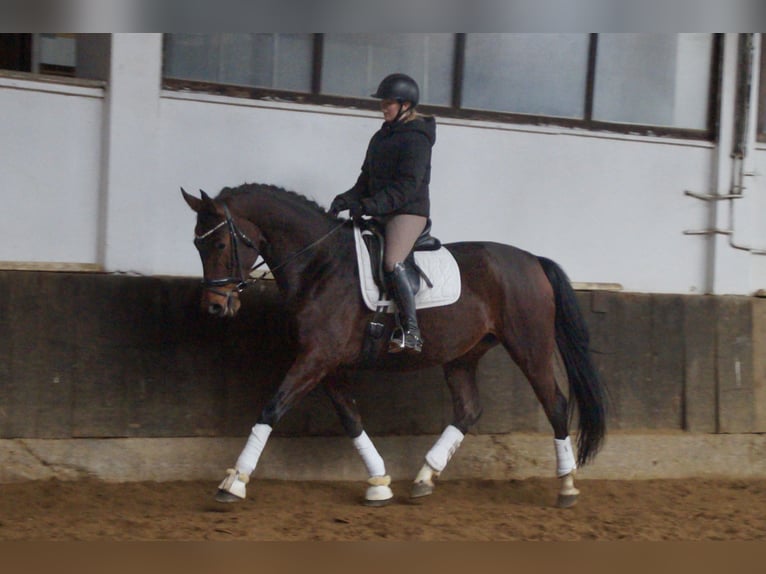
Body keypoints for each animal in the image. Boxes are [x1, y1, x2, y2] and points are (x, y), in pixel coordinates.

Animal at [183, 183, 608, 508]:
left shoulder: (316, 358)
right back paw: (424, 478)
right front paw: (378, 483)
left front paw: (234, 481)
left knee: (555, 404)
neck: (321, 264)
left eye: (218, 243)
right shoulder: (328, 364)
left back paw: (567, 486)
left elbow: (272, 408)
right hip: (462, 355)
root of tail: (532, 260)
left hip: (530, 347)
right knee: (468, 410)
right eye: (196, 245)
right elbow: (351, 419)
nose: (215, 307)